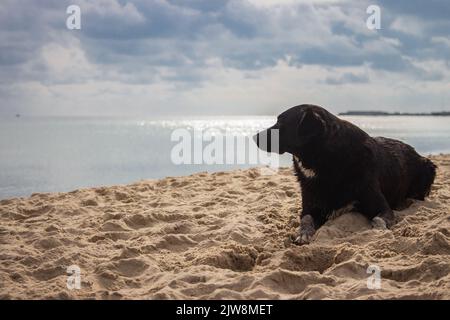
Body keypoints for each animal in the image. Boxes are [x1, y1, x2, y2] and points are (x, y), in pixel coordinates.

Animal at [256, 105, 436, 245]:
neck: (327, 162)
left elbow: (377, 220)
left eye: (281, 123)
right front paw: (303, 234)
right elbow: (305, 219)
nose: (253, 137)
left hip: (429, 167)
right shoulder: (309, 206)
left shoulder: (382, 207)